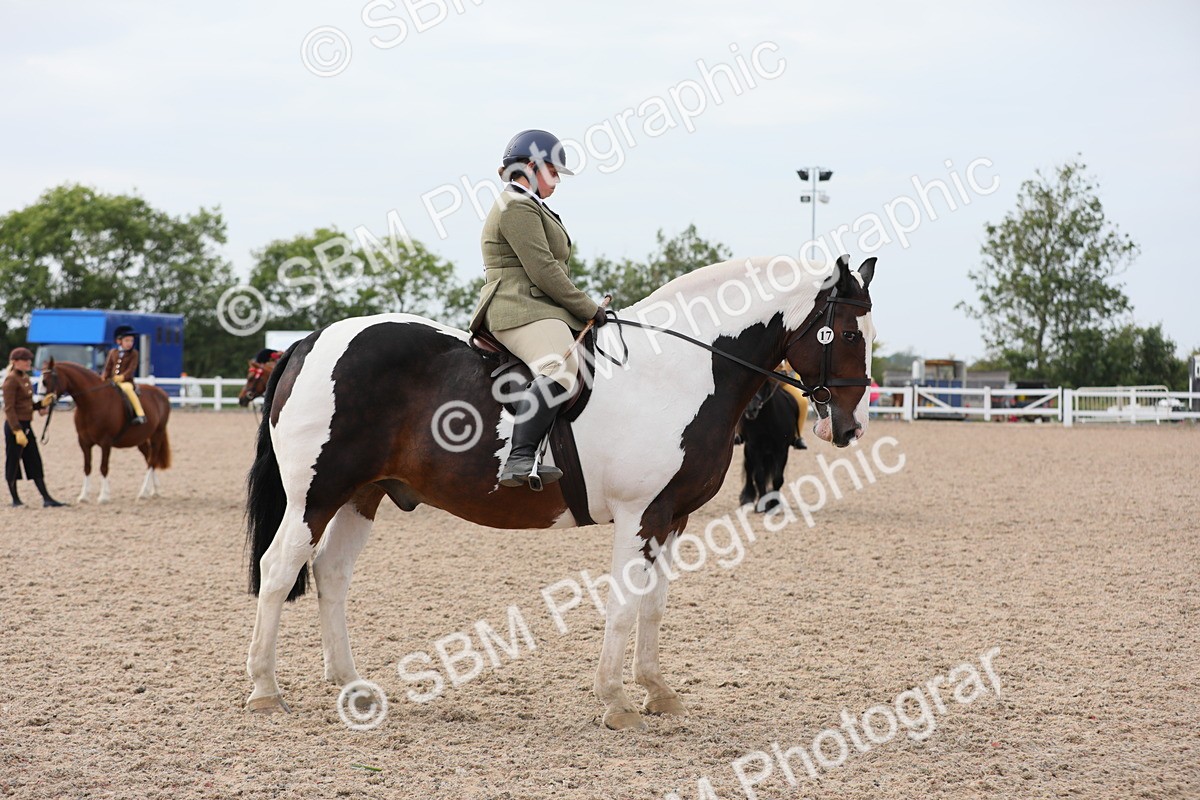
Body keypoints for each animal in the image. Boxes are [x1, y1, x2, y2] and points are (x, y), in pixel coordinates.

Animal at [41, 359, 172, 503]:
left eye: (45, 381)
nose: (42, 405)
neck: (92, 402)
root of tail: (161, 393)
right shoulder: (84, 442)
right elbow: (87, 467)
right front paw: (84, 496)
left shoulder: (106, 443)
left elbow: (103, 467)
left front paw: (104, 496)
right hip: (140, 440)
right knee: (149, 458)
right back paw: (155, 490)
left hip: (157, 435)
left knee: (151, 460)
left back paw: (143, 492)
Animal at [738, 381, 800, 512]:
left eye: (763, 385)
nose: (751, 410)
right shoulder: (754, 448)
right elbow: (759, 476)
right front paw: (761, 504)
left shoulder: (782, 450)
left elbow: (777, 478)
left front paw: (774, 504)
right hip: (748, 448)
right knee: (748, 468)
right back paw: (747, 498)